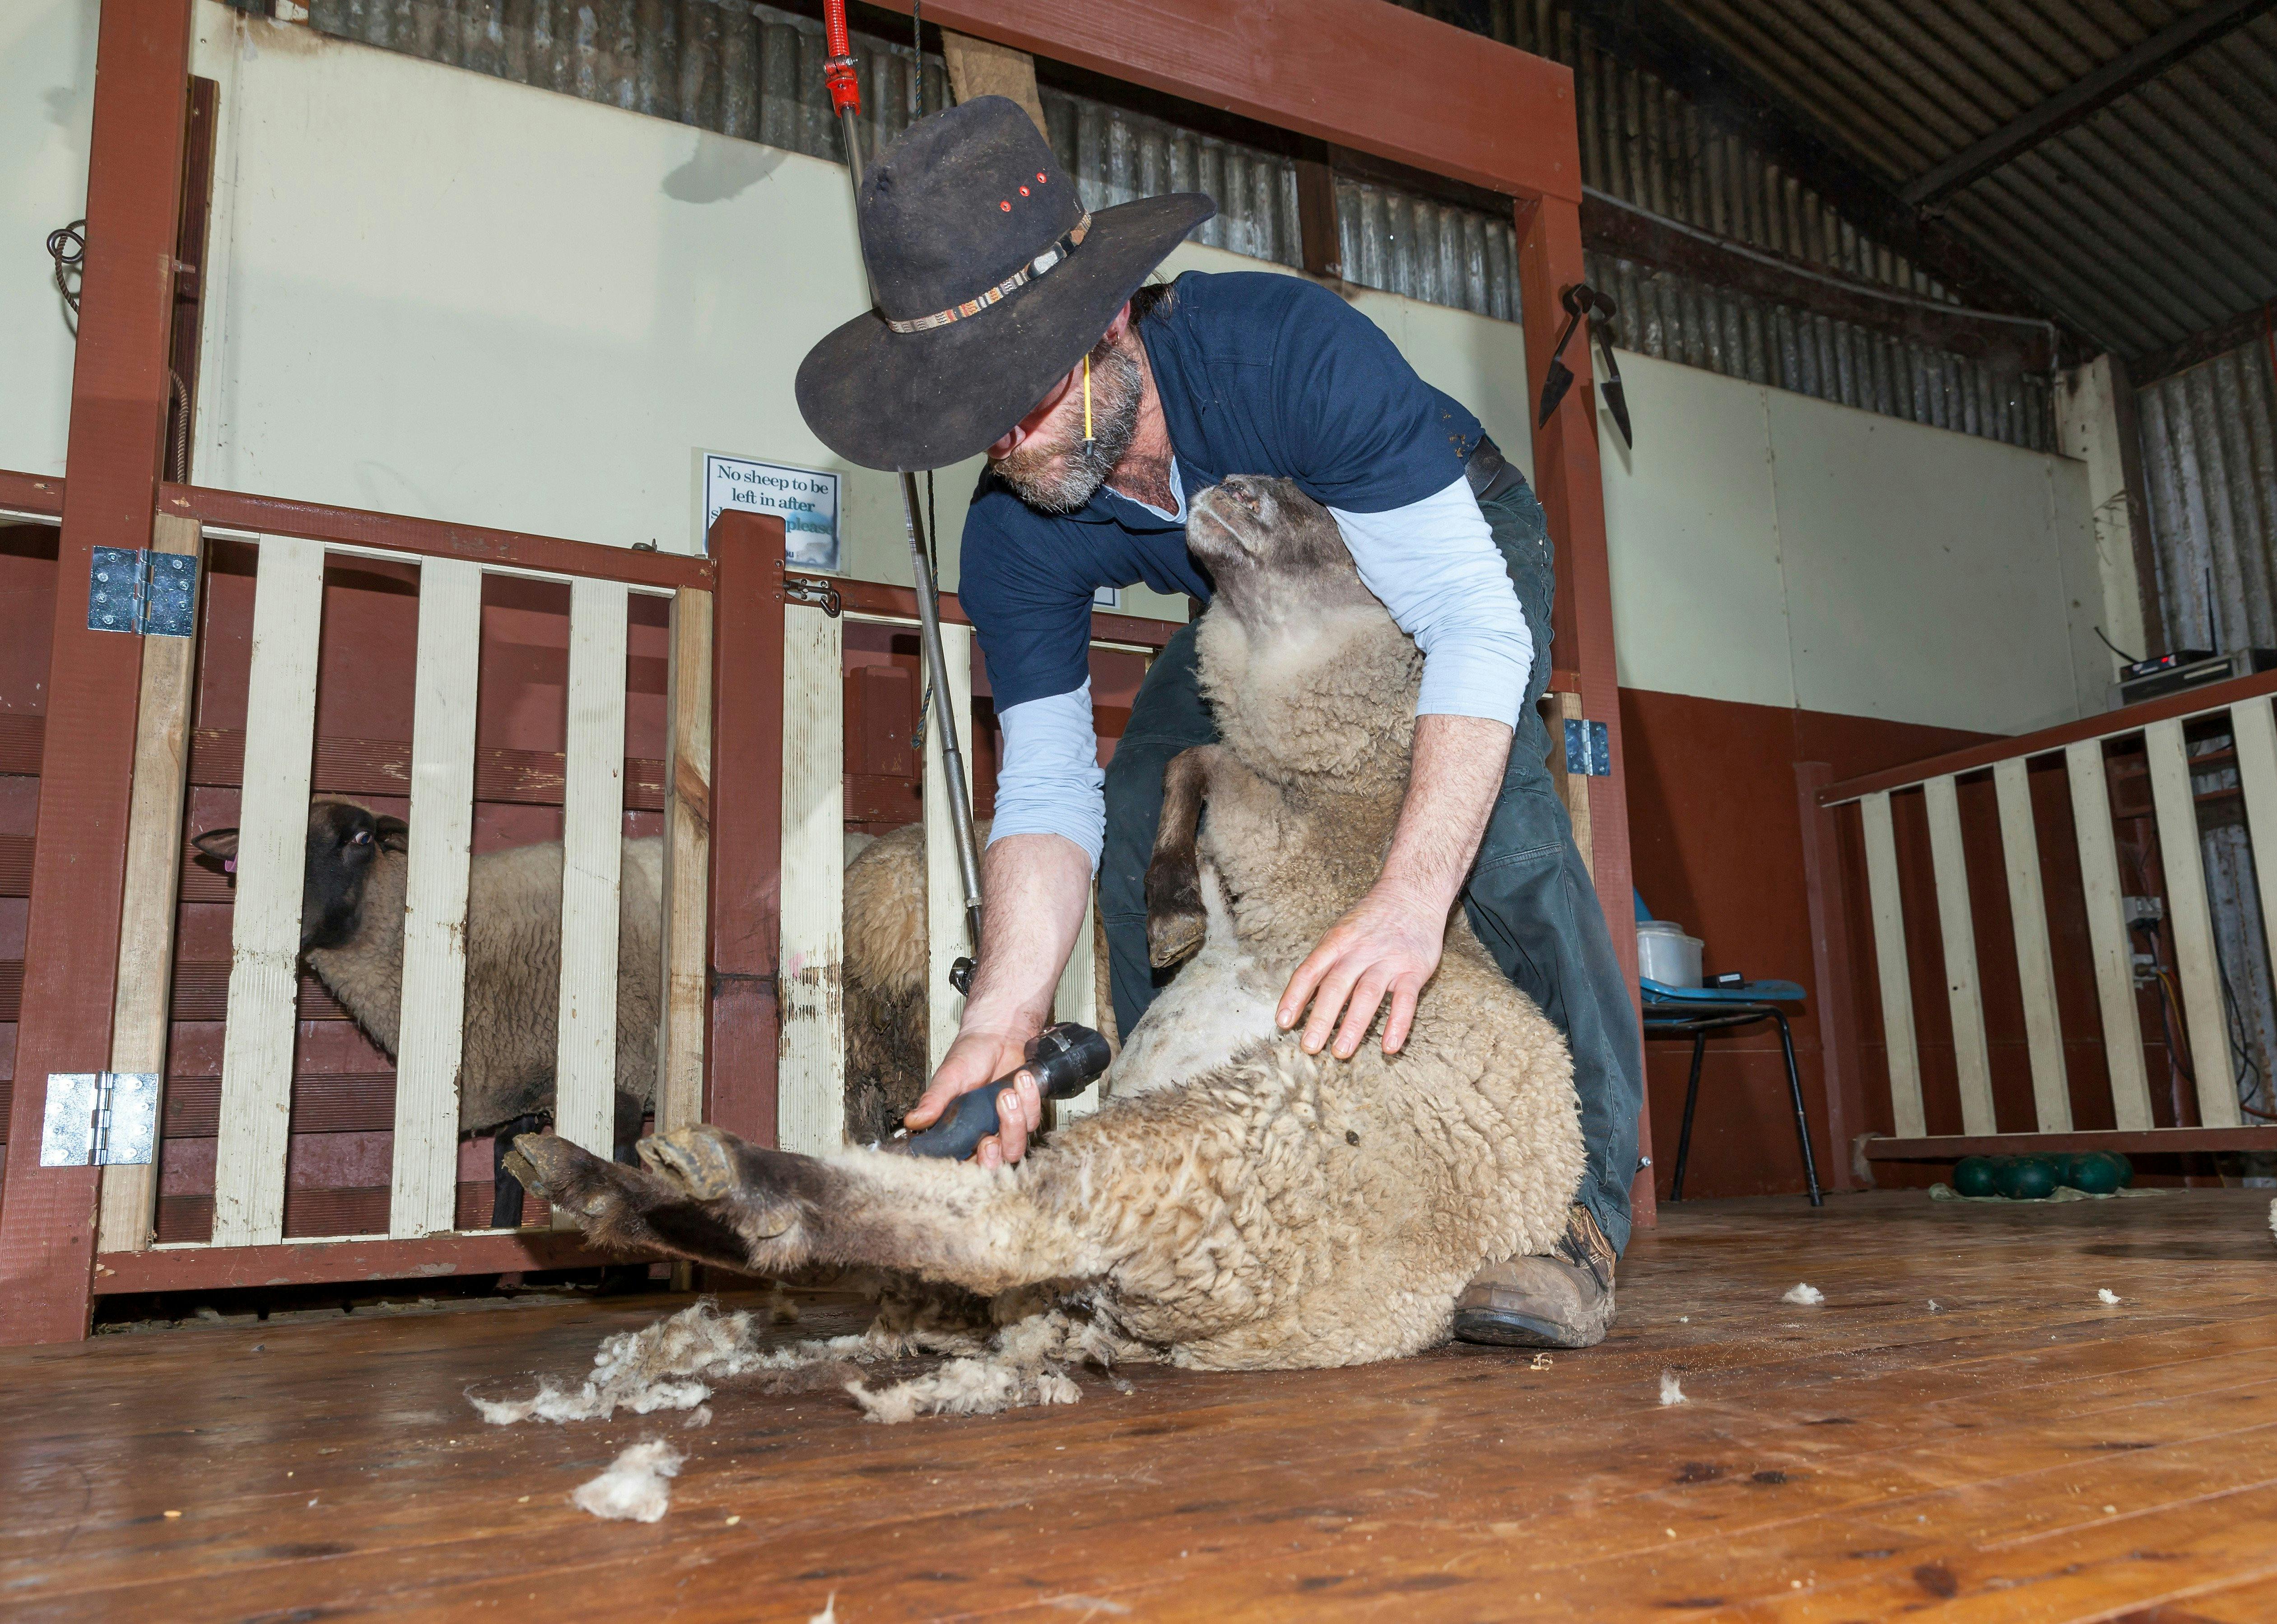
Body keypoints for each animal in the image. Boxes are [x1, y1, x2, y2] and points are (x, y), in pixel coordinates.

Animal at [190, 801, 662, 1227]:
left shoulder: (623, 1073)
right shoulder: (520, 1074)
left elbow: (619, 1169)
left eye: (363, 839)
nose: (285, 919)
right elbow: (507, 1163)